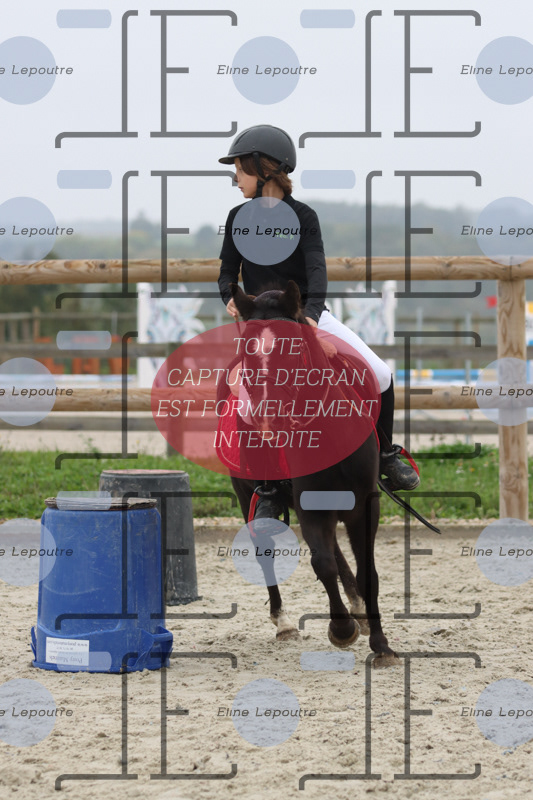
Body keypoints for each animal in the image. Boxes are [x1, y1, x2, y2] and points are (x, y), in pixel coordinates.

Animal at [224, 280, 399, 668]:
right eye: (247, 350)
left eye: (293, 348)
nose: (266, 414)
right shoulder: (310, 507)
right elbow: (322, 564)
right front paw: (341, 629)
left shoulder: (364, 506)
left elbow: (367, 571)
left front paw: (381, 644)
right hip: (246, 495)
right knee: (268, 552)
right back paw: (285, 623)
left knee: (338, 552)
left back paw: (358, 609)